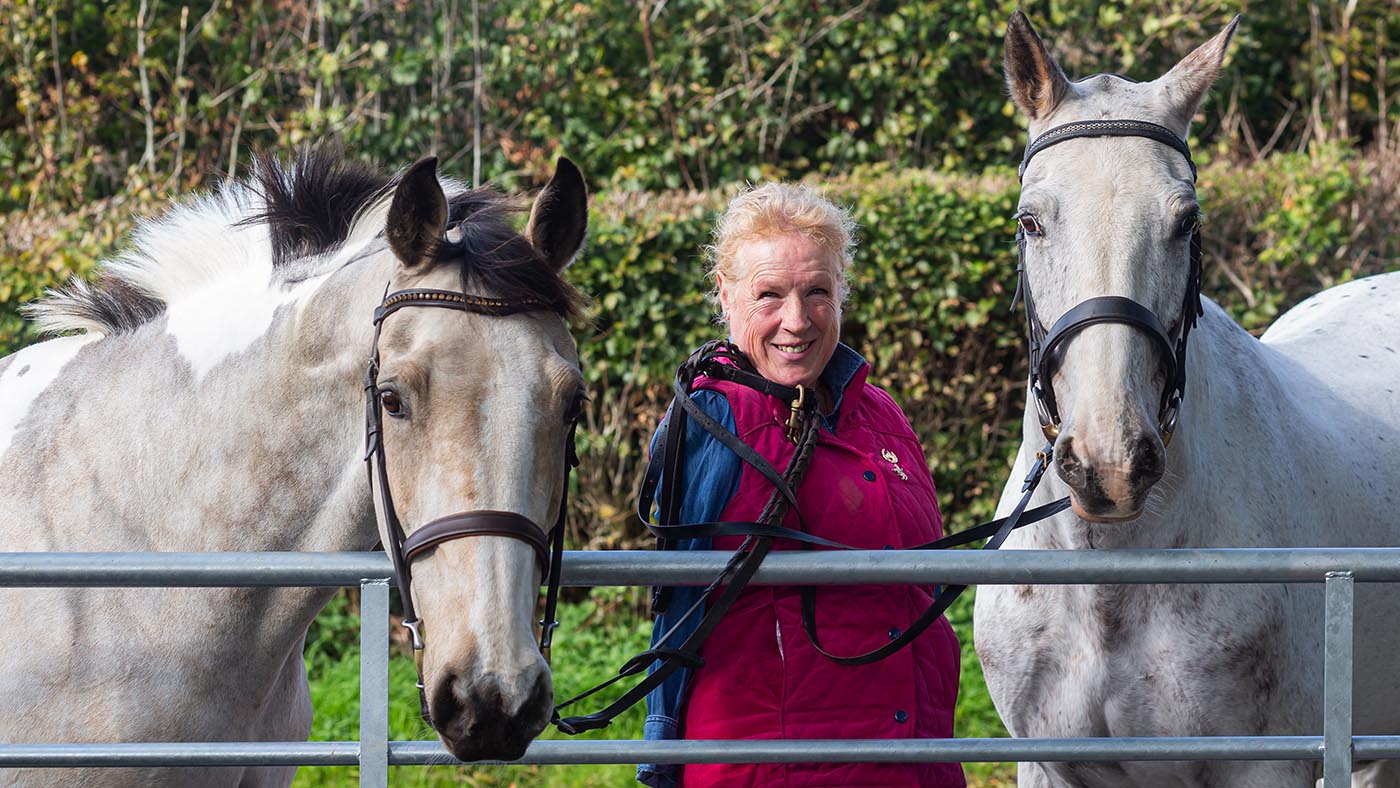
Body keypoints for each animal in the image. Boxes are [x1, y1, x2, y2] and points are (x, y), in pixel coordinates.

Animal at [973, 12, 1400, 788]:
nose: (1109, 463)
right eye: (1030, 222)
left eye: (1187, 221)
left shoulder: (1267, 767)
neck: (1112, 580)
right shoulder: (1046, 766)